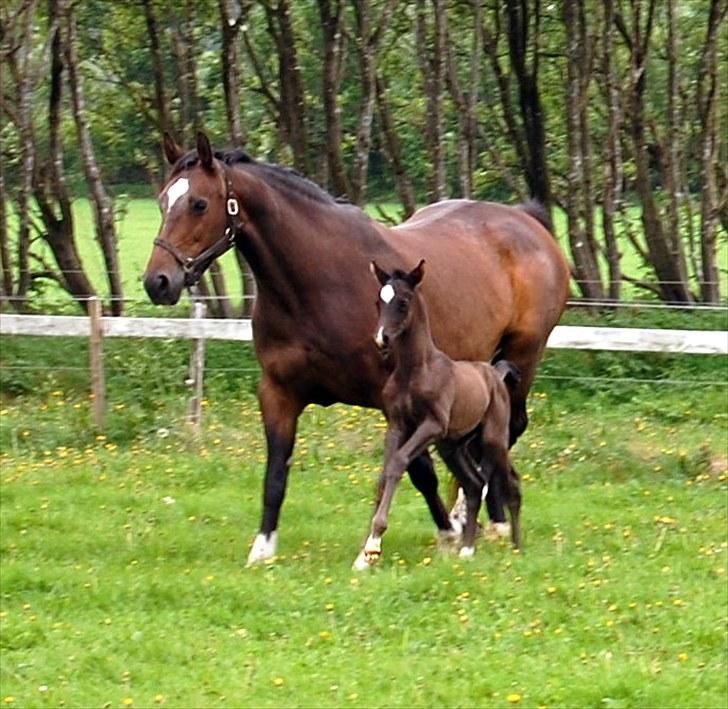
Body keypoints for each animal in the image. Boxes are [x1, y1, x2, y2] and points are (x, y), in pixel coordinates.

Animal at [354, 260, 520, 568]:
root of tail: (496, 373)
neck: (414, 371)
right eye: (378, 301)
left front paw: (374, 543)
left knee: (510, 484)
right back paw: (467, 549)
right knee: (474, 484)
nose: (381, 339)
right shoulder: (397, 425)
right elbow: (385, 471)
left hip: (492, 440)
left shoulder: (431, 426)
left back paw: (517, 547)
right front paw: (367, 552)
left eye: (403, 302)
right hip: (452, 447)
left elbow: (398, 463)